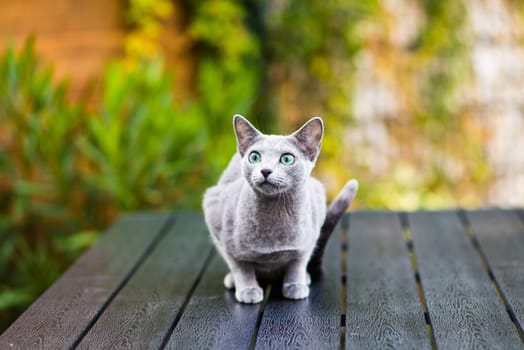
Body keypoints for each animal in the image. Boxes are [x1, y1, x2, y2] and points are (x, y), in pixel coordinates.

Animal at [203, 115, 358, 304]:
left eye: (287, 159)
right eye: (254, 157)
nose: (265, 170)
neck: (275, 213)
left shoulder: (308, 238)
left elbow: (297, 263)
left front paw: (295, 285)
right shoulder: (219, 223)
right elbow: (241, 266)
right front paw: (248, 290)